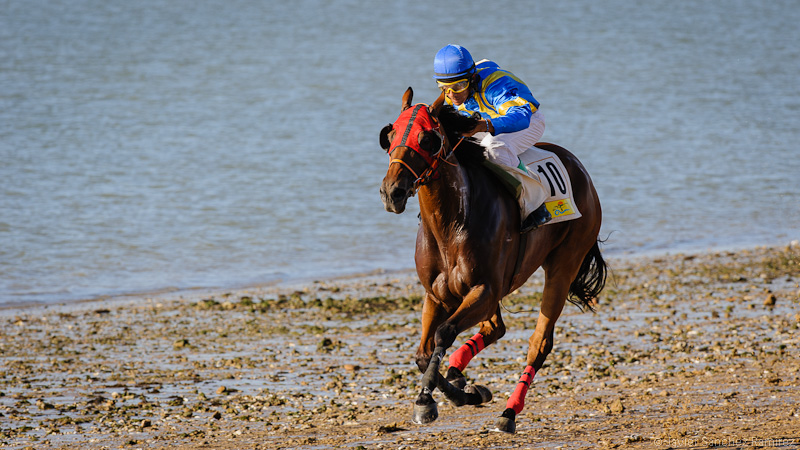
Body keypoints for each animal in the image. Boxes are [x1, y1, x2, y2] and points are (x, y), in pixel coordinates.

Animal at [378, 87, 604, 432]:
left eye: (427, 138)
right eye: (389, 136)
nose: (393, 192)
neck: (451, 224)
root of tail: (577, 166)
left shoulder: (484, 288)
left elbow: (444, 333)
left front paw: (428, 399)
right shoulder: (436, 294)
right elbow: (423, 354)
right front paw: (463, 391)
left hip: (565, 263)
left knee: (539, 342)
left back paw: (509, 412)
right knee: (495, 328)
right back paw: (460, 374)